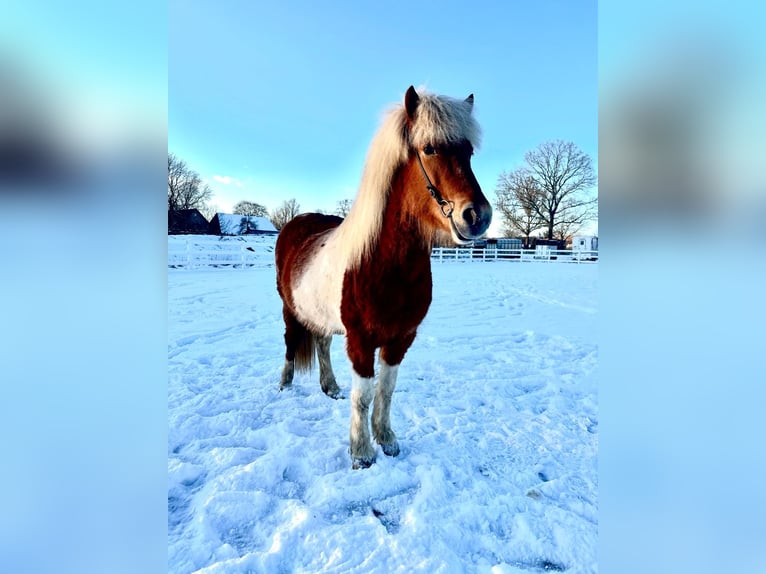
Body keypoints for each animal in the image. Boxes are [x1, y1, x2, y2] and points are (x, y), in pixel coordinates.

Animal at [275, 86, 492, 469]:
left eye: (468, 152)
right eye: (429, 148)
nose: (477, 216)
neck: (385, 266)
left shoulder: (401, 339)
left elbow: (386, 390)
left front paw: (387, 440)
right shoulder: (360, 341)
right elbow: (363, 395)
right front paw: (361, 452)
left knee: (322, 343)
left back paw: (330, 387)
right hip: (290, 309)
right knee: (289, 342)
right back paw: (285, 385)